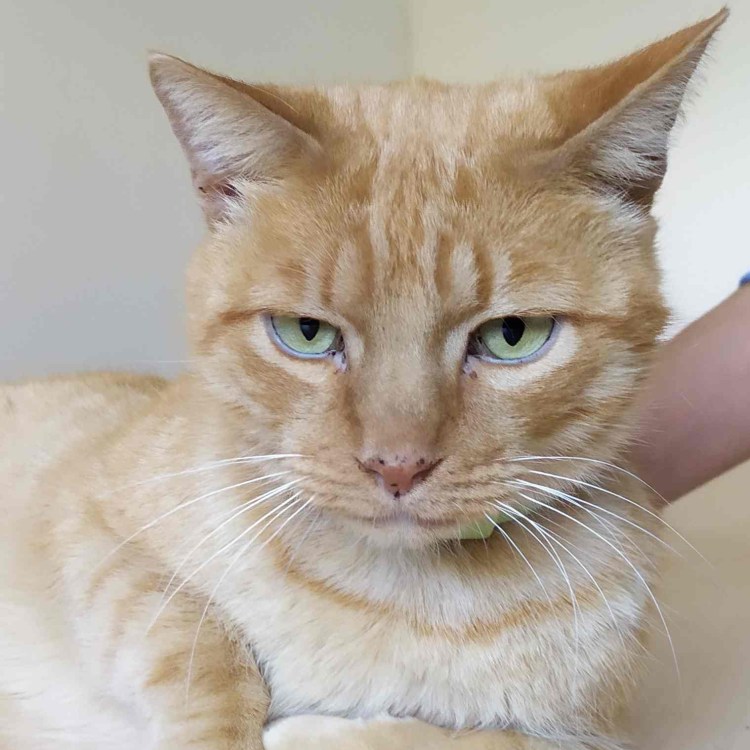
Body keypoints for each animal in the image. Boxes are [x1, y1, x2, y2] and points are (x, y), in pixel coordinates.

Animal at [0, 8, 727, 750]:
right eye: (306, 333)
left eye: (512, 335)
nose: (396, 465)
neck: (406, 597)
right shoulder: (91, 529)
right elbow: (205, 650)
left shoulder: (586, 737)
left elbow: (461, 736)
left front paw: (320, 730)